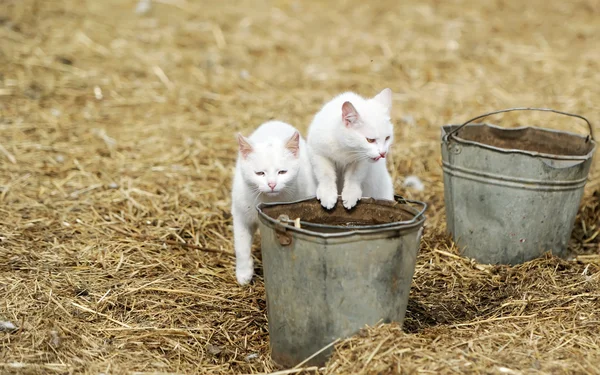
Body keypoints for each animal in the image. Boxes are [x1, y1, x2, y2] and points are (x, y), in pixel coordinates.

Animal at [230, 120, 316, 284]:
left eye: (282, 172)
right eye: (259, 173)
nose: (271, 184)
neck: (269, 198)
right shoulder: (240, 214)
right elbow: (241, 245)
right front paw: (244, 273)